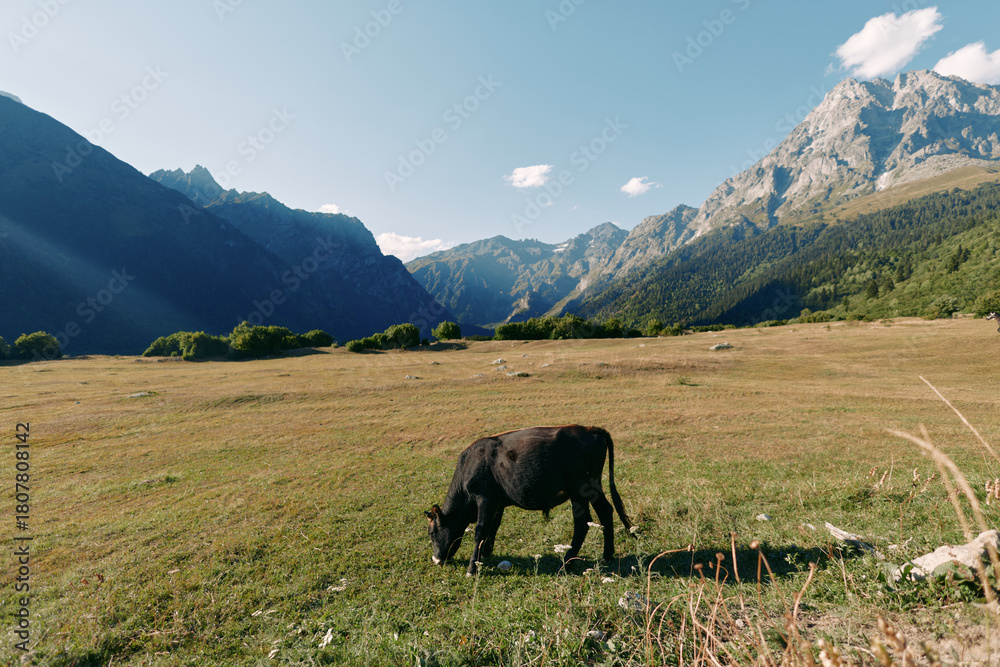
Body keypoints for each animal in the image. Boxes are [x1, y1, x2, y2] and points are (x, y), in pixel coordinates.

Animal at [424, 425, 633, 575]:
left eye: (432, 533)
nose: (436, 560)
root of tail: (593, 429)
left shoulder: (486, 499)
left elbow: (480, 532)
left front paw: (472, 567)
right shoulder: (498, 503)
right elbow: (493, 527)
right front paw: (485, 553)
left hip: (579, 490)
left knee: (582, 523)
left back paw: (565, 563)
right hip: (593, 487)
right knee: (606, 511)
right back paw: (607, 555)